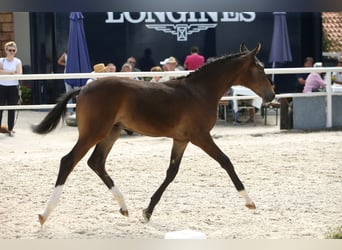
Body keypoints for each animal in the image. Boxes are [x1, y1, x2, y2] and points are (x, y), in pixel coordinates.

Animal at [32, 44, 276, 226]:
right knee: (69, 161)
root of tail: (83, 89)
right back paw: (45, 214)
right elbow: (226, 162)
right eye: (260, 69)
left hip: (112, 132)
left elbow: (171, 172)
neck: (200, 91)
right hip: (94, 132)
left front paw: (147, 211)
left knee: (96, 162)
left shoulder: (181, 139)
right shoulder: (201, 137)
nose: (271, 94)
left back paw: (124, 207)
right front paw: (249, 201)